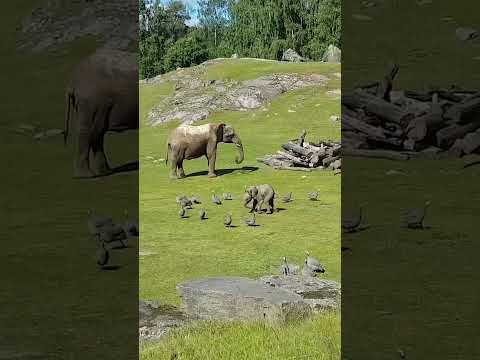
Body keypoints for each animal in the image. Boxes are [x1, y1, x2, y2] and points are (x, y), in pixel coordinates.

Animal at [64, 48, 139, 178]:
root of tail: (73, 82)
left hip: (96, 104)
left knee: (97, 133)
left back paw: (105, 172)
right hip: (92, 102)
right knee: (89, 132)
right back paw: (86, 176)